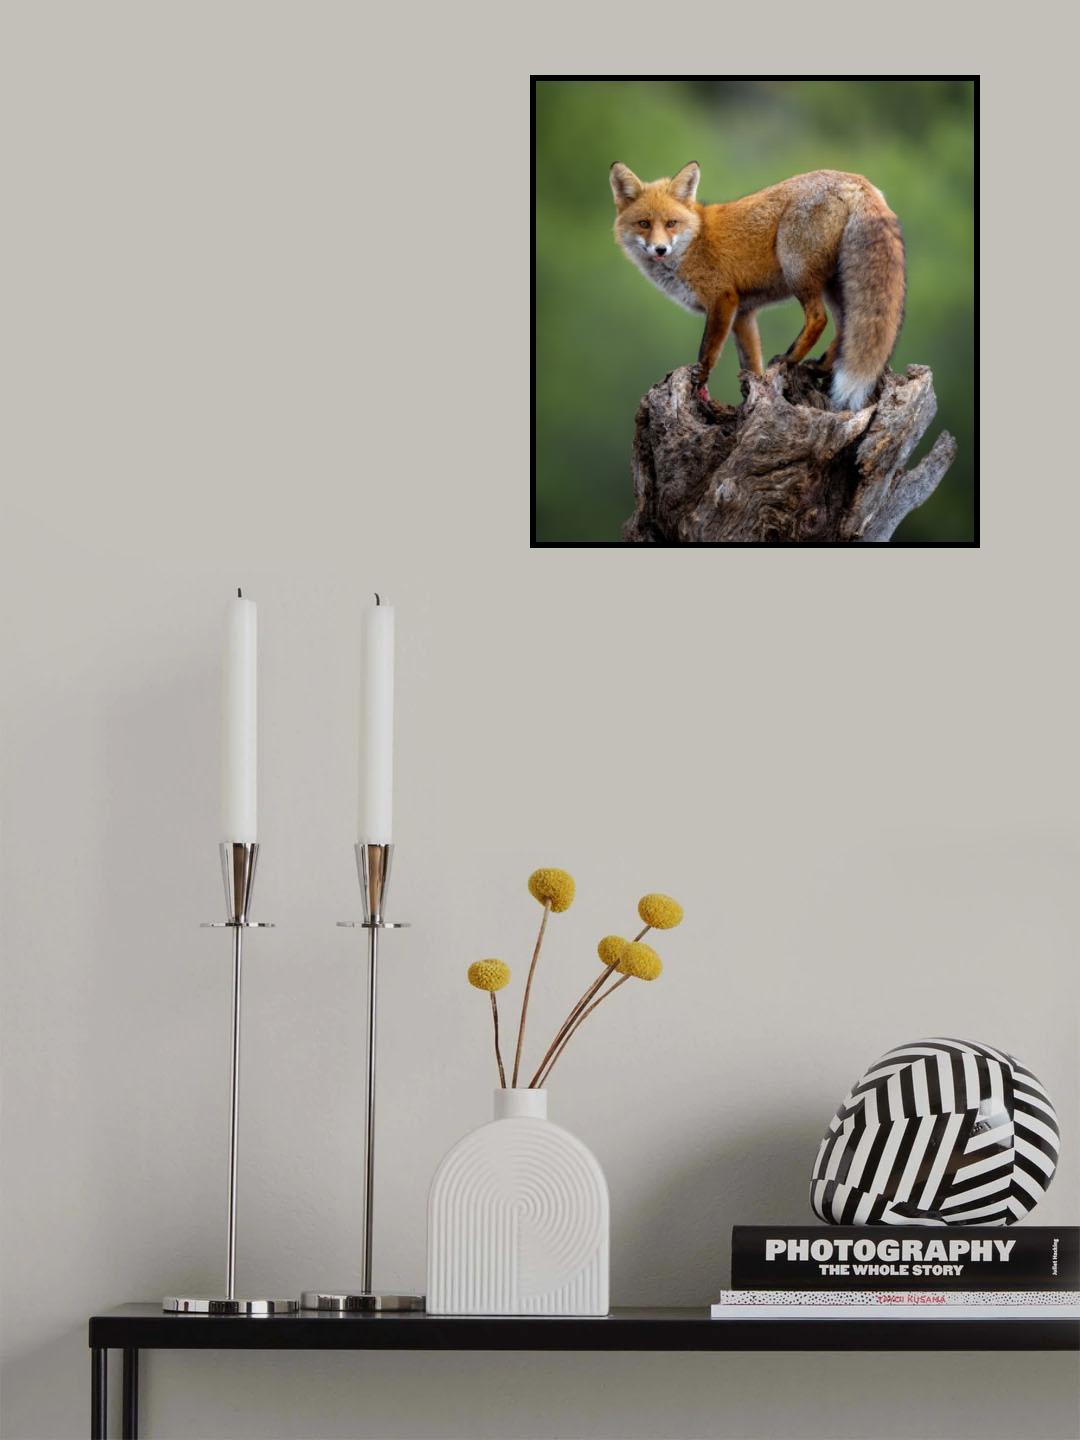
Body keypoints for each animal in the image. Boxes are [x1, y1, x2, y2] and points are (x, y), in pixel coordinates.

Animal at [609, 161, 905, 412]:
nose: (660, 249)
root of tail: (856, 180)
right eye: (644, 224)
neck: (694, 241)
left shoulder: (722, 299)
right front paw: (750, 398)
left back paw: (789, 359)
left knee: (818, 319)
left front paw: (699, 385)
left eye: (671, 223)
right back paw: (821, 367)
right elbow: (752, 365)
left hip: (797, 270)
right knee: (845, 328)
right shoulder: (743, 314)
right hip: (835, 285)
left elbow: (707, 352)